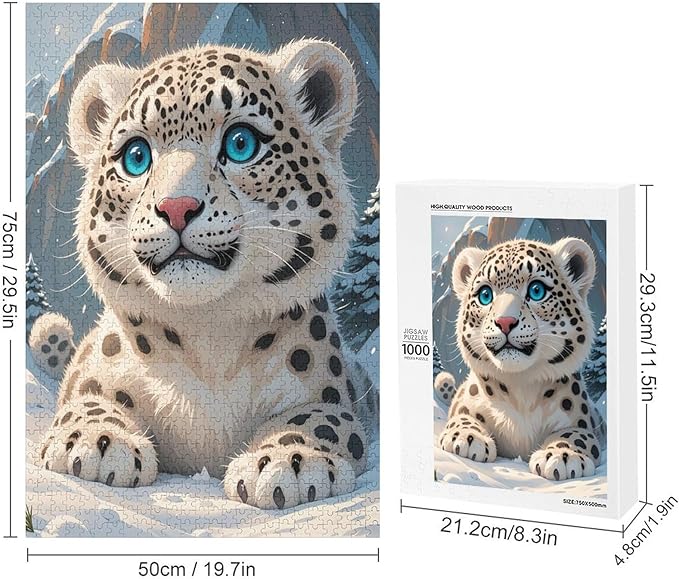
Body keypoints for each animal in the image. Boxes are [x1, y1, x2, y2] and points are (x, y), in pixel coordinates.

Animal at [32, 39, 376, 510]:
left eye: (241, 142)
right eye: (136, 156)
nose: (177, 207)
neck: (208, 337)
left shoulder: (329, 392)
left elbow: (320, 418)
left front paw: (289, 463)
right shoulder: (92, 375)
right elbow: (86, 399)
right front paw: (98, 443)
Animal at [435, 237, 605, 481]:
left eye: (536, 290)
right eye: (485, 294)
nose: (505, 322)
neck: (520, 390)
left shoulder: (583, 422)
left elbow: (576, 434)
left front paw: (562, 457)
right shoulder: (464, 404)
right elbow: (462, 416)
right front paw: (467, 439)